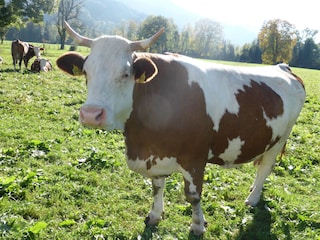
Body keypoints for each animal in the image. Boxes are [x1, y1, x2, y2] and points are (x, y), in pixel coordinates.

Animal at [56, 21, 306, 235]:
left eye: (125, 74)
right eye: (86, 72)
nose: (91, 114)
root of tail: (282, 67)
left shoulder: (195, 158)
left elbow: (193, 196)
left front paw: (197, 225)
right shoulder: (156, 154)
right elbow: (157, 186)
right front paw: (155, 215)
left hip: (281, 138)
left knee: (265, 167)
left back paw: (253, 198)